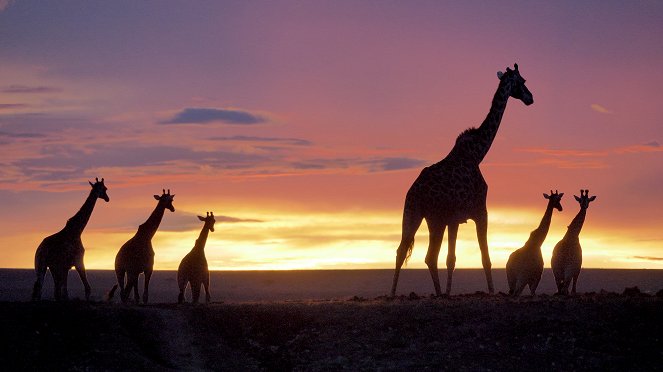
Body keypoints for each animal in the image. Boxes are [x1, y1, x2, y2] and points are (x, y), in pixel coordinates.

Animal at [390, 63, 536, 296]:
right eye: (522, 81)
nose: (531, 97)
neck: (477, 153)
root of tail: (414, 192)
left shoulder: (454, 219)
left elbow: (451, 259)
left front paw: (448, 293)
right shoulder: (479, 211)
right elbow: (484, 258)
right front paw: (491, 292)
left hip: (415, 213)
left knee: (407, 251)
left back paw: (404, 293)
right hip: (434, 218)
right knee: (424, 254)